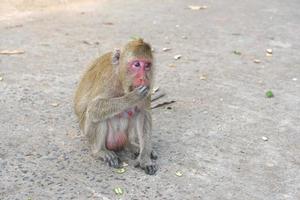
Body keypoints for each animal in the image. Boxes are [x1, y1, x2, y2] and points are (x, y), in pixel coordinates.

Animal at [74, 38, 158, 174]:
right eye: (136, 64)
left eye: (147, 66)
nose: (143, 78)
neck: (120, 78)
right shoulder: (108, 79)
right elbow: (94, 108)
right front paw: (132, 97)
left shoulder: (148, 86)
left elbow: (144, 114)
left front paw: (145, 158)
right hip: (88, 134)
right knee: (97, 117)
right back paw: (100, 151)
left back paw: (132, 145)